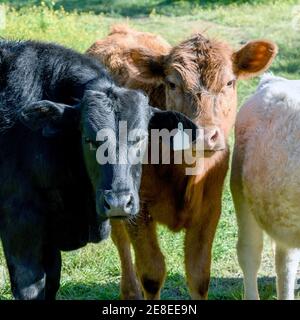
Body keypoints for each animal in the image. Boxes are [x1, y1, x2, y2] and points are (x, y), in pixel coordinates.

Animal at [86, 25, 276, 300]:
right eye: (172, 83)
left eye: (229, 82)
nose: (204, 134)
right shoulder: (138, 209)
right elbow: (152, 272)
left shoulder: (210, 209)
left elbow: (198, 274)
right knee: (120, 241)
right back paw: (130, 292)